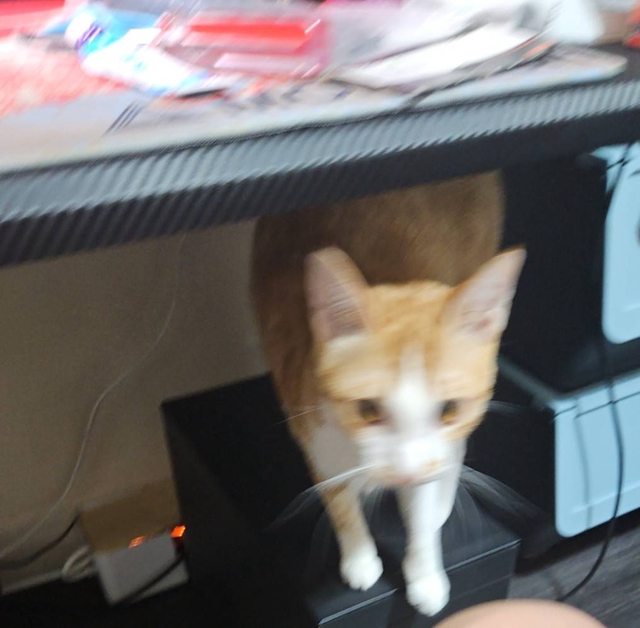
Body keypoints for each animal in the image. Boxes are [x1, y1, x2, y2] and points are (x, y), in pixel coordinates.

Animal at [250, 171, 524, 616]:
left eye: (448, 409)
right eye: (368, 409)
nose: (409, 472)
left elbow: (423, 501)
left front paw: (425, 572)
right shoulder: (308, 426)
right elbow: (338, 498)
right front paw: (360, 556)